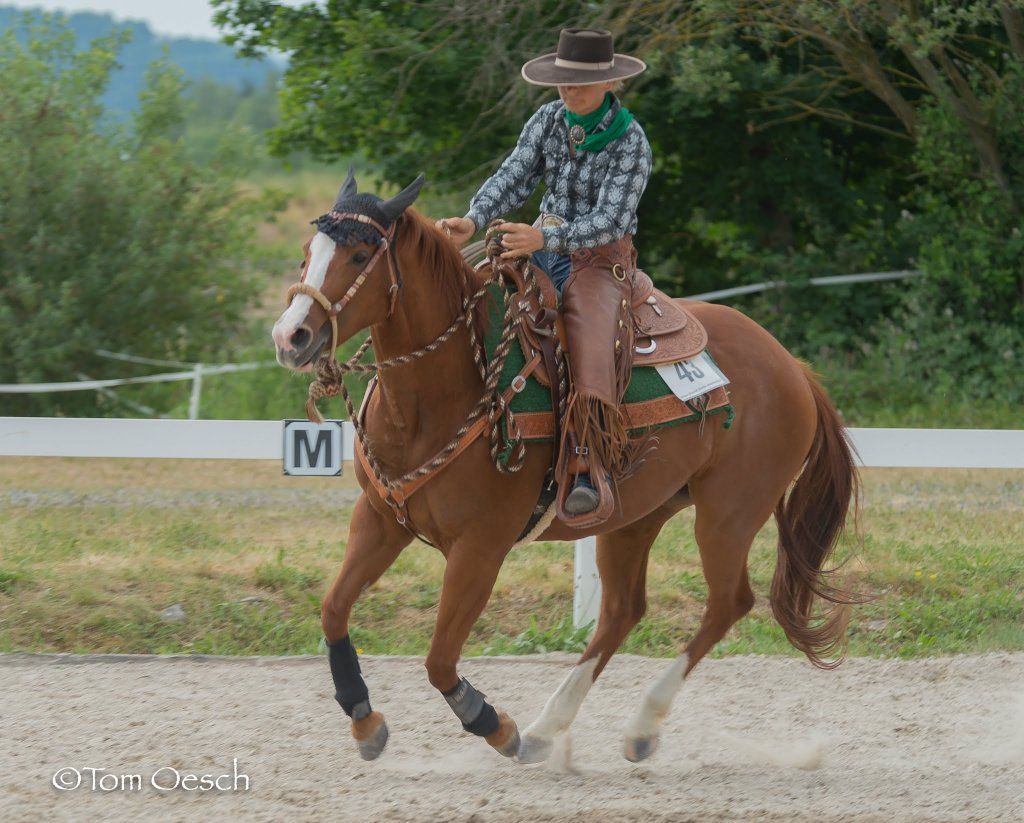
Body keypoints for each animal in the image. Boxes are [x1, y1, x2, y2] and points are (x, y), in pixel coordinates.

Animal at [271, 171, 860, 764]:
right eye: (307, 254)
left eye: (360, 253)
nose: (290, 337)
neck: (445, 392)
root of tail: (793, 367)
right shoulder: (380, 519)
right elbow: (333, 609)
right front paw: (365, 720)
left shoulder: (480, 547)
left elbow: (439, 660)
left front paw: (492, 723)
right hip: (634, 516)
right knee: (623, 611)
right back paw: (547, 728)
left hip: (728, 516)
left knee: (727, 604)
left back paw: (637, 727)